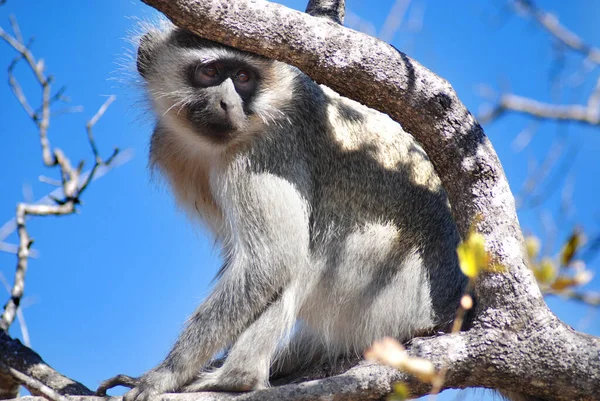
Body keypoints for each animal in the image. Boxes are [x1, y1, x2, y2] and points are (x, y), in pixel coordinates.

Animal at [123, 23, 468, 400]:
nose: (227, 103)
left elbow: (271, 261)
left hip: (390, 287)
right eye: (209, 72)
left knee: (301, 257)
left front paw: (167, 373)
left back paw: (237, 377)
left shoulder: (265, 152)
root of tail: (447, 307)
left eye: (243, 77)